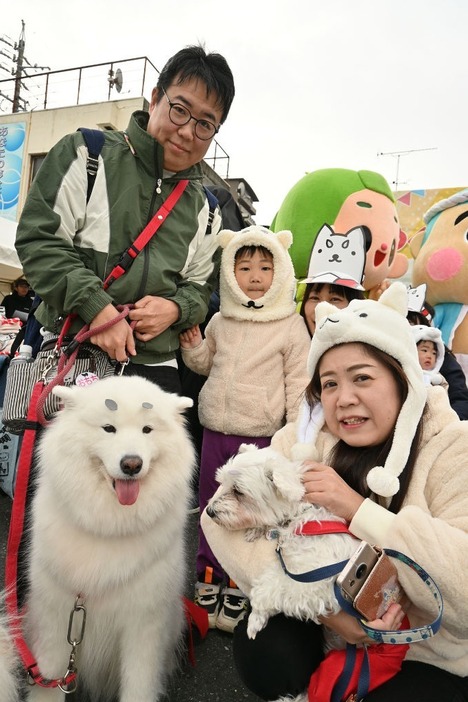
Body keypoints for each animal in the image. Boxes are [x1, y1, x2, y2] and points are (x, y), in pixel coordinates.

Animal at [0, 380, 195, 702]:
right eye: (108, 428)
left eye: (147, 429)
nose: (132, 464)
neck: (108, 527)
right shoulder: (55, 618)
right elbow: (48, 682)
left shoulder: (144, 625)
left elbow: (139, 685)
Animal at [206, 446, 358, 644]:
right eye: (222, 483)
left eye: (238, 491)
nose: (209, 511)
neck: (300, 517)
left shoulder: (318, 581)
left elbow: (271, 586)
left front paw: (255, 618)